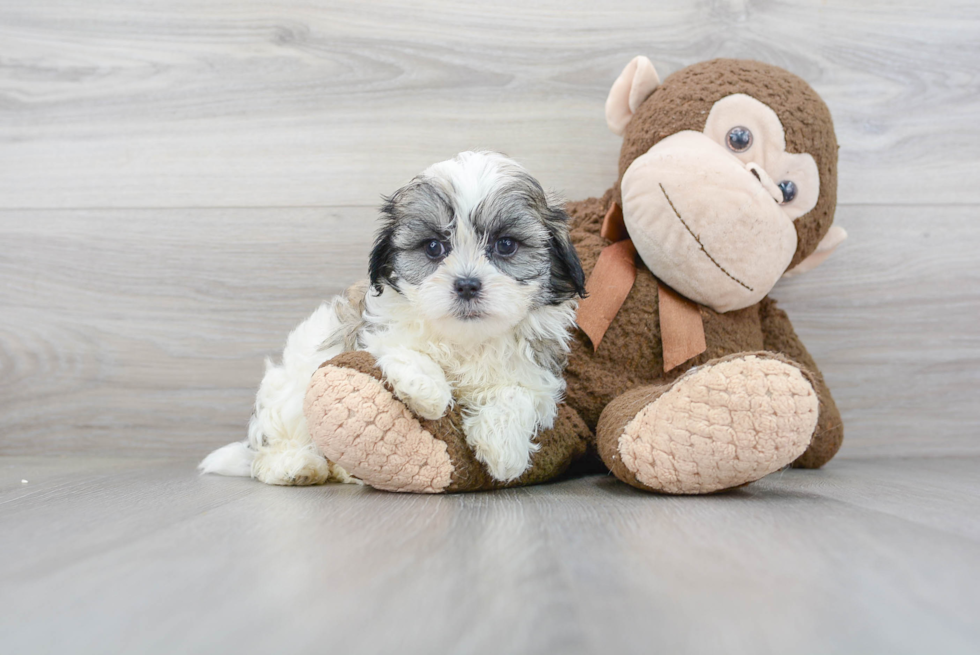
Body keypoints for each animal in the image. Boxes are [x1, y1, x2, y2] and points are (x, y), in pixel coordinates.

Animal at [198, 151, 580, 484]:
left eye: (506, 245)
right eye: (433, 247)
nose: (467, 284)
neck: (464, 339)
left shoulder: (536, 373)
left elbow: (518, 394)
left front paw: (504, 450)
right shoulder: (370, 330)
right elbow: (401, 348)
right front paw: (430, 392)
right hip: (288, 396)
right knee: (273, 448)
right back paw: (295, 466)